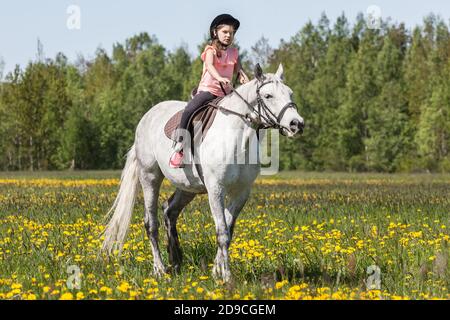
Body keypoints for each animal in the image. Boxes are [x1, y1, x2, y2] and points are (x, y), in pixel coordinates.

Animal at [102, 63, 304, 282]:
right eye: (268, 96)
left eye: (290, 93)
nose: (297, 124)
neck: (238, 137)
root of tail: (147, 117)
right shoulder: (216, 189)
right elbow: (222, 232)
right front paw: (226, 276)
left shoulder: (241, 192)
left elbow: (228, 230)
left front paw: (217, 270)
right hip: (150, 177)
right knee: (151, 223)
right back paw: (160, 270)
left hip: (187, 187)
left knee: (169, 211)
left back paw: (176, 261)